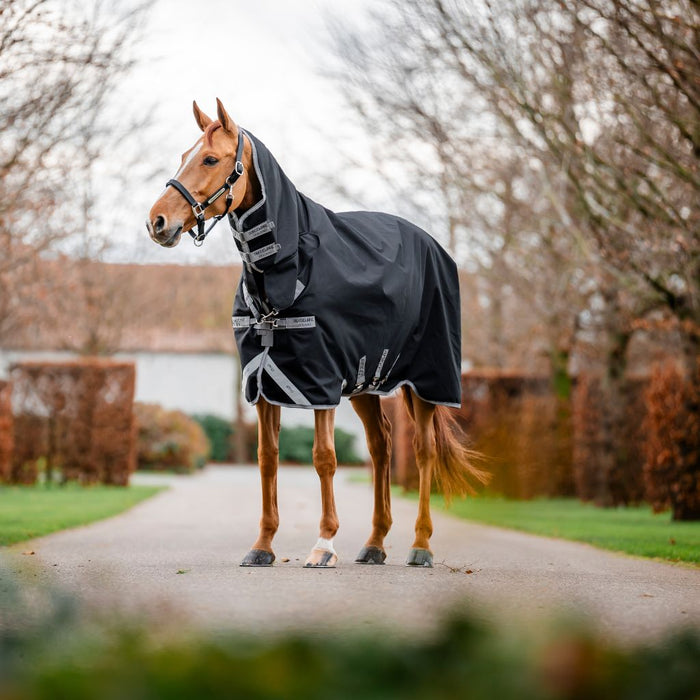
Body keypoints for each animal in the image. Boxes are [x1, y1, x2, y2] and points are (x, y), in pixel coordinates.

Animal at [147, 99, 487, 569]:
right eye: (184, 156)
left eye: (210, 159)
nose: (157, 222)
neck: (286, 269)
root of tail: (433, 245)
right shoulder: (264, 382)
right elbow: (267, 459)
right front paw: (263, 545)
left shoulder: (320, 379)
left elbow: (324, 457)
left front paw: (324, 543)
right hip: (364, 381)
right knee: (381, 446)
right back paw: (375, 543)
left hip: (427, 380)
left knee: (422, 451)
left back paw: (420, 545)